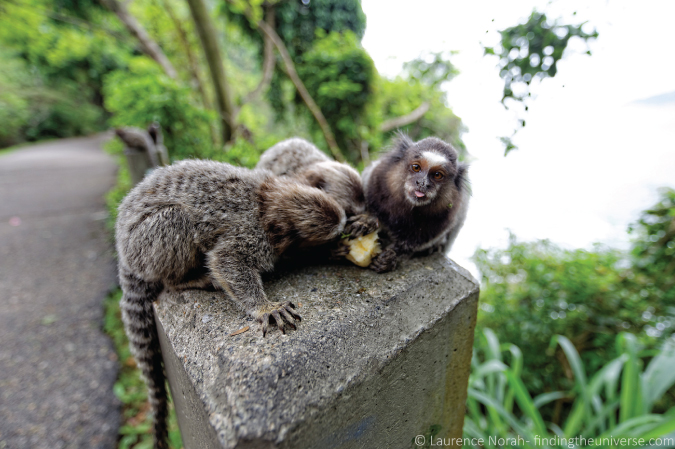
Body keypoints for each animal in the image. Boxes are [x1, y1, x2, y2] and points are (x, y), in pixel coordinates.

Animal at [115, 159, 347, 448]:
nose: (339, 237)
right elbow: (227, 261)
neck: (265, 198)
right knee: (176, 220)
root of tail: (123, 253)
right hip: (144, 245)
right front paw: (265, 308)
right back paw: (185, 280)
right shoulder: (252, 233)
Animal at [361, 134, 470, 273]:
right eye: (416, 167)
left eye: (437, 175)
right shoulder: (375, 181)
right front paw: (367, 221)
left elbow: (407, 246)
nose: (422, 183)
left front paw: (389, 258)